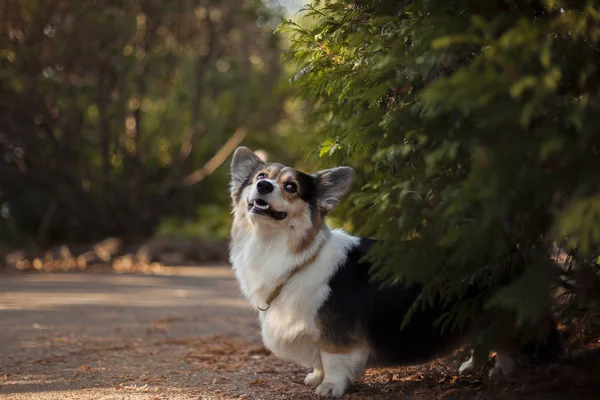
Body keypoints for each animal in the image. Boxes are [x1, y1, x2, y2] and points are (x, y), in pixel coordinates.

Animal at [227, 147, 560, 396]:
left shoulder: (337, 335)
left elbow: (333, 361)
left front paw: (330, 387)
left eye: (291, 187)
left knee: (507, 344)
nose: (263, 186)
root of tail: (512, 249)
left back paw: (501, 372)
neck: (293, 256)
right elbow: (319, 360)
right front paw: (315, 376)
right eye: (260, 177)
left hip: (499, 313)